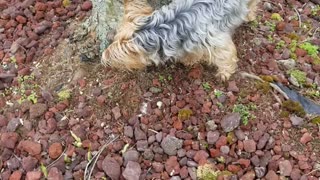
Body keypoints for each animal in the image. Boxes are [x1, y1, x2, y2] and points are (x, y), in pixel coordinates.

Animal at [101, 0, 258, 81]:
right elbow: (192, 53)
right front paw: (189, 60)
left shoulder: (217, 41)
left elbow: (226, 57)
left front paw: (224, 74)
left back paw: (249, 15)